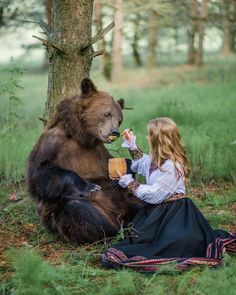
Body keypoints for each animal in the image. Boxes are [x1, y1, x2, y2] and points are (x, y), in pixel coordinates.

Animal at [27, 78, 142, 245]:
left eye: (120, 120)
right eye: (107, 114)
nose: (114, 132)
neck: (81, 136)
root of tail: (120, 214)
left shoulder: (98, 151)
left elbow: (113, 163)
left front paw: (123, 172)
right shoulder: (52, 144)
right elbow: (40, 176)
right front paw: (90, 186)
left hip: (125, 198)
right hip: (75, 211)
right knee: (79, 211)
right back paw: (117, 232)